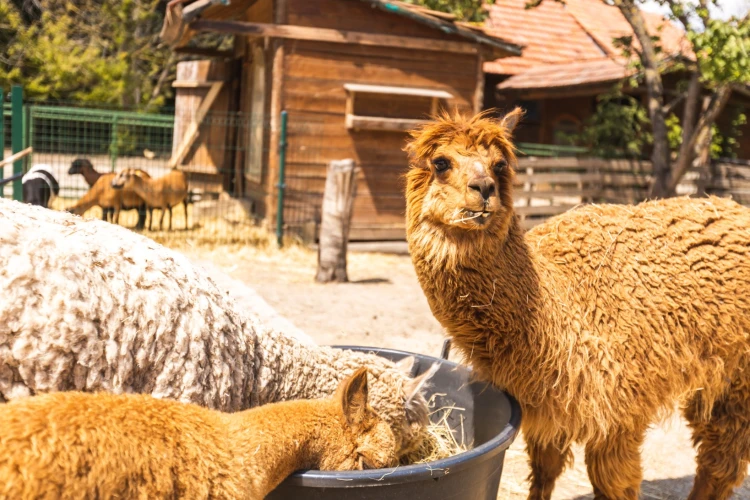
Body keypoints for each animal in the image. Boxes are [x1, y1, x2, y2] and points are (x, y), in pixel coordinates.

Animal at [406, 108, 750, 500]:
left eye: (499, 165)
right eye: (441, 162)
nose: (484, 189)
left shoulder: (619, 410)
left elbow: (614, 484)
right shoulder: (549, 407)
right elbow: (544, 471)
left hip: (740, 376)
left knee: (721, 461)